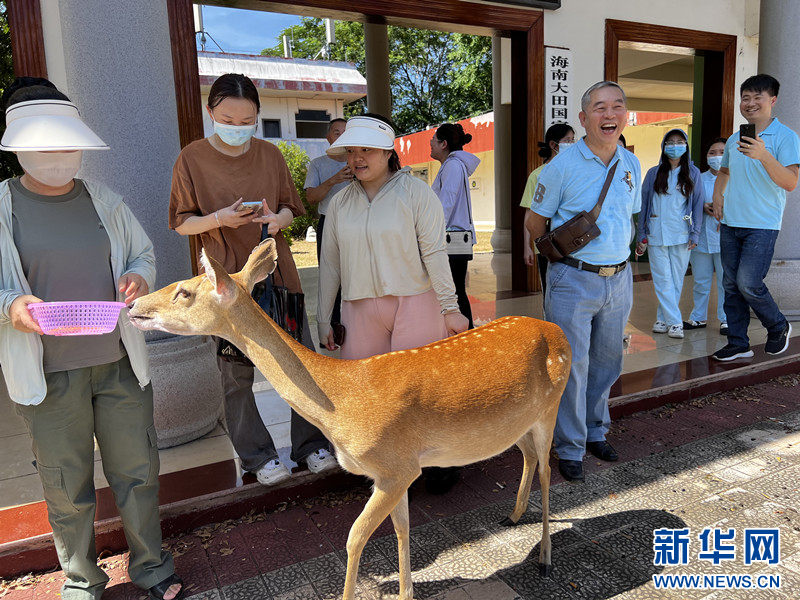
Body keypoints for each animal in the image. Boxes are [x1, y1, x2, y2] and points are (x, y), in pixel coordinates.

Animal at [128, 239, 568, 600]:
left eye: (184, 291)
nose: (132, 305)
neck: (341, 404)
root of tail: (556, 329)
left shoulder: (394, 466)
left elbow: (354, 538)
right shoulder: (398, 471)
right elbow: (402, 528)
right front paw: (406, 593)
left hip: (551, 406)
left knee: (549, 469)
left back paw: (546, 558)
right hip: (516, 423)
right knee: (529, 457)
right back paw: (513, 516)